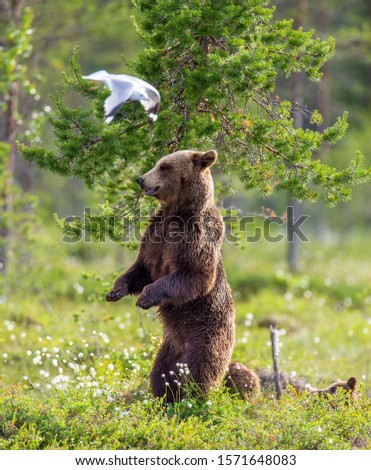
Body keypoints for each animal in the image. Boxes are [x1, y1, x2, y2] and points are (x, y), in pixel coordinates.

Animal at [106, 151, 260, 404]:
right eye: (158, 163)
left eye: (164, 166)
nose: (141, 179)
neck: (177, 213)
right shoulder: (155, 235)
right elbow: (141, 269)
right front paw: (115, 290)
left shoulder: (195, 237)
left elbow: (193, 276)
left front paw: (145, 297)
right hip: (169, 346)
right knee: (161, 372)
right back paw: (164, 398)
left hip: (206, 334)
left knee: (201, 369)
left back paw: (193, 398)